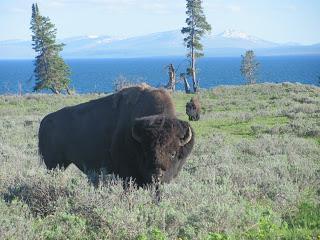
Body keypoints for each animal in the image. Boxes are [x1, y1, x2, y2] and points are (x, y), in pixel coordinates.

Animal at [40, 84, 195, 188]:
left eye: (173, 153)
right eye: (147, 152)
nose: (156, 176)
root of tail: (44, 121)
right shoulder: (127, 173)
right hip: (54, 165)